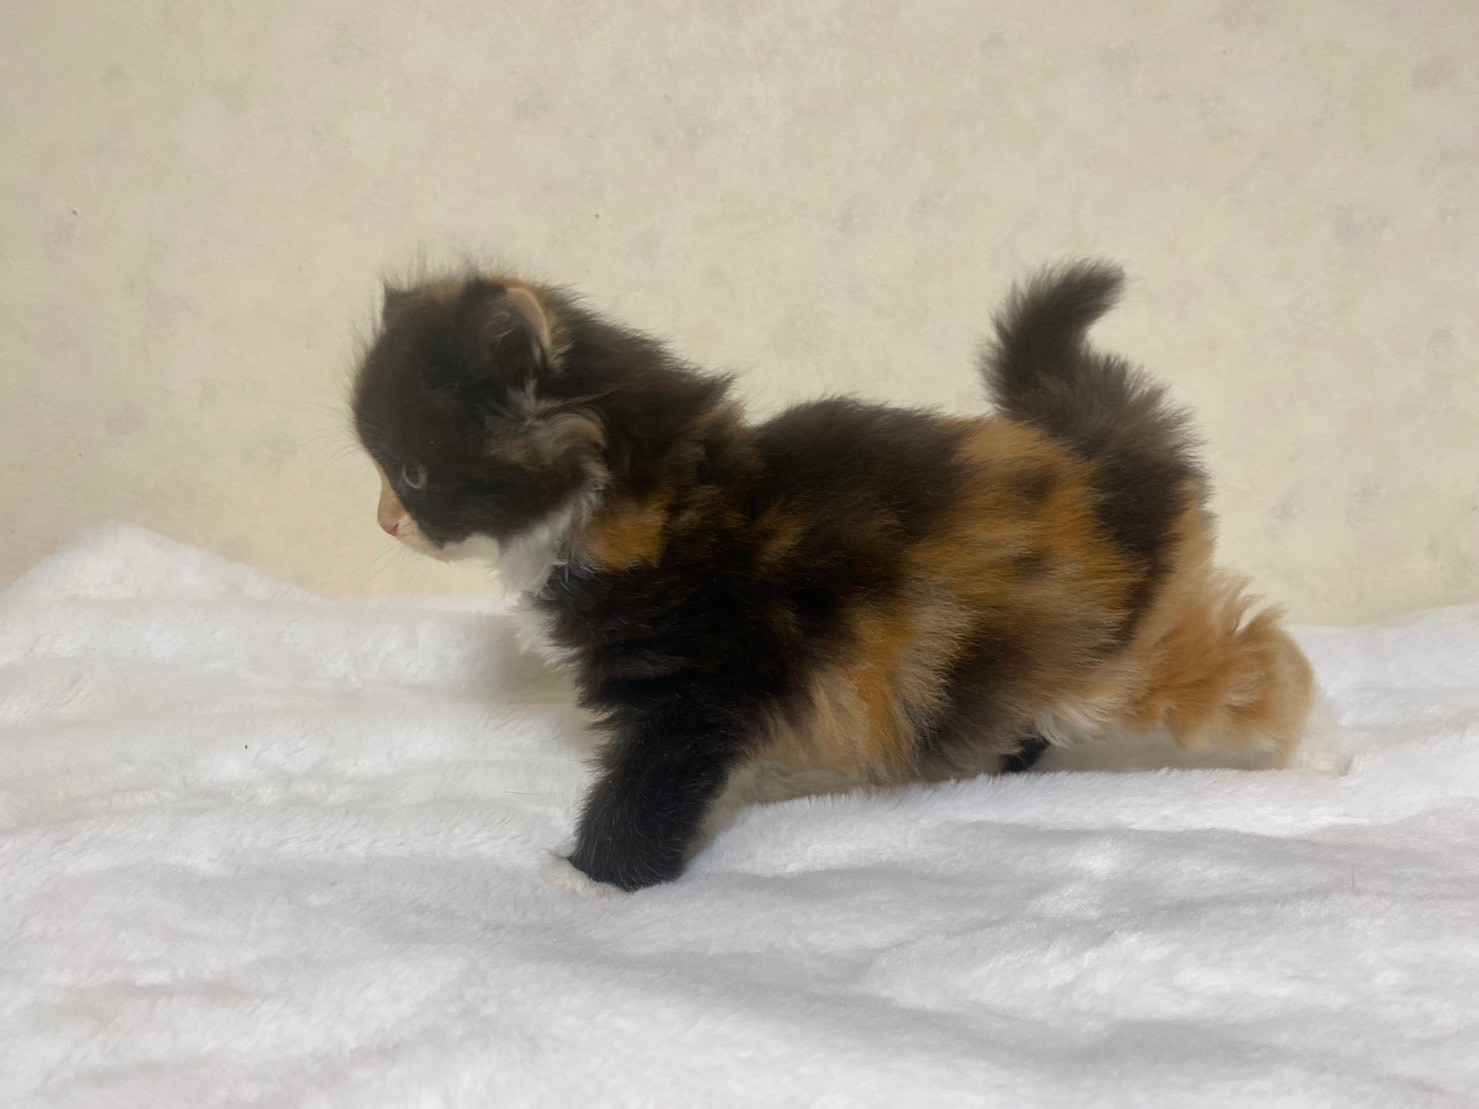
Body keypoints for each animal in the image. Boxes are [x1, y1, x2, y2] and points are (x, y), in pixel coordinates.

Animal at [351, 261, 1330, 893]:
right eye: (387, 471)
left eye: (413, 472)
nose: (384, 520)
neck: (643, 496)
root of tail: (1100, 461)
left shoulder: (695, 682)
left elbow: (648, 781)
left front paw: (592, 877)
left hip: (1119, 654)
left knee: (1251, 656)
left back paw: (1319, 749)